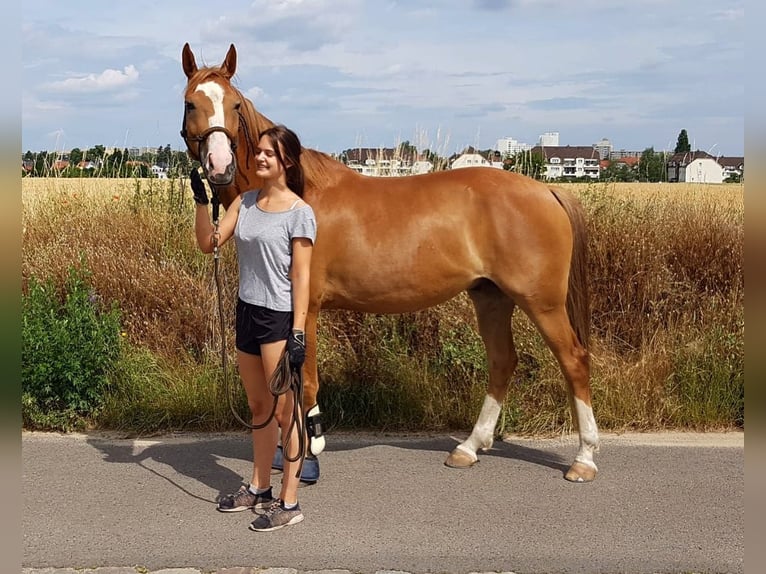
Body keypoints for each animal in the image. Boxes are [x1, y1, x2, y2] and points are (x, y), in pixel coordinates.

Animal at [183, 42, 604, 482]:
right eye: (191, 103)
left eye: (234, 104)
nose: (219, 165)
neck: (296, 192)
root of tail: (547, 190)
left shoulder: (306, 308)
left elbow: (306, 383)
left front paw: (309, 455)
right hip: (491, 296)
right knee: (503, 361)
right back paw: (469, 448)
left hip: (542, 302)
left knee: (574, 360)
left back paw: (584, 458)